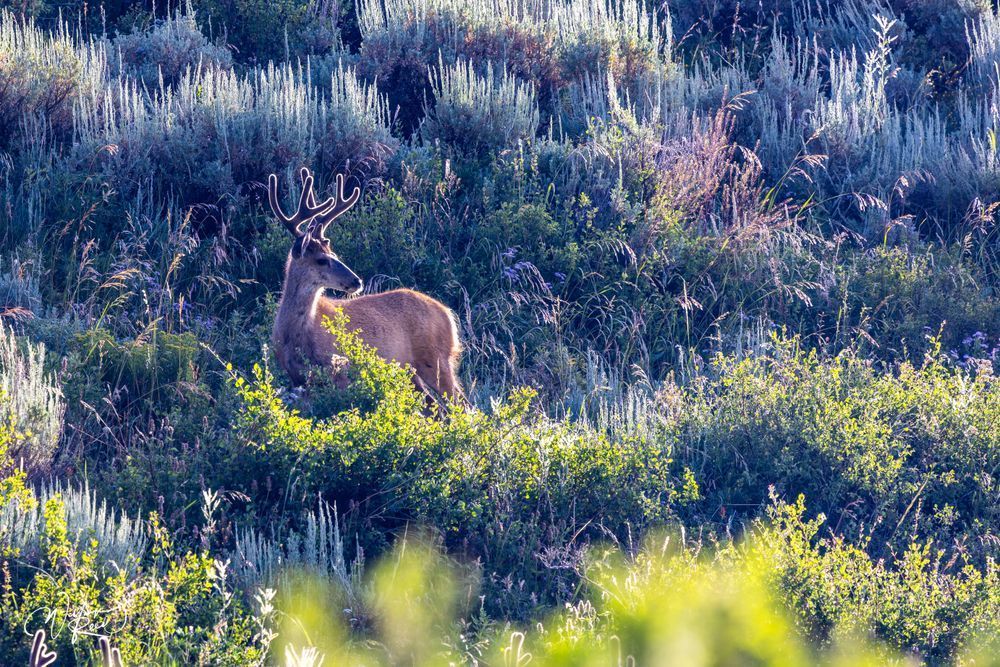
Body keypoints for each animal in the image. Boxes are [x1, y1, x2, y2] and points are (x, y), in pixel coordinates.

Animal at [268, 167, 465, 406]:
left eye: (333, 253)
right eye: (322, 260)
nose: (357, 281)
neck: (297, 336)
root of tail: (447, 313)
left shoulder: (340, 371)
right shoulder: (298, 380)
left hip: (435, 359)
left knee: (462, 404)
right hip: (410, 371)